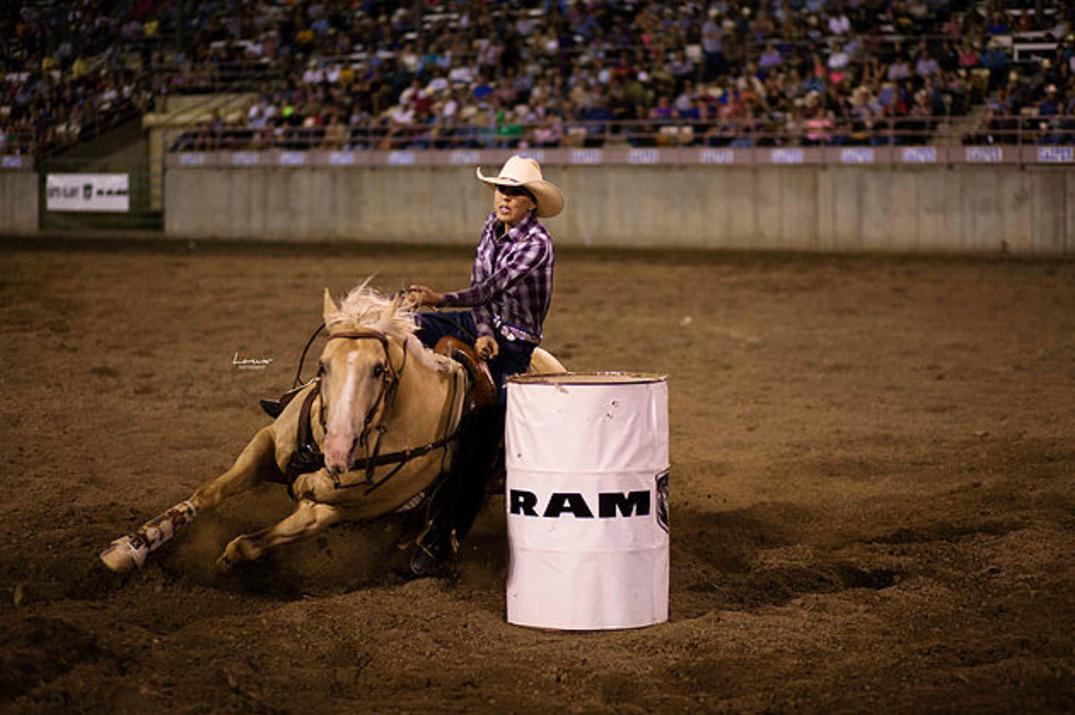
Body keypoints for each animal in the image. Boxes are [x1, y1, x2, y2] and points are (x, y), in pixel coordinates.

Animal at [101, 283, 567, 576]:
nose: (337, 453)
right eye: (323, 365)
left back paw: (423, 551)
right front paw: (128, 549)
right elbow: (207, 494)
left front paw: (222, 568)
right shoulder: (265, 444)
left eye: (379, 370)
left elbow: (245, 544)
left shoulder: (327, 513)